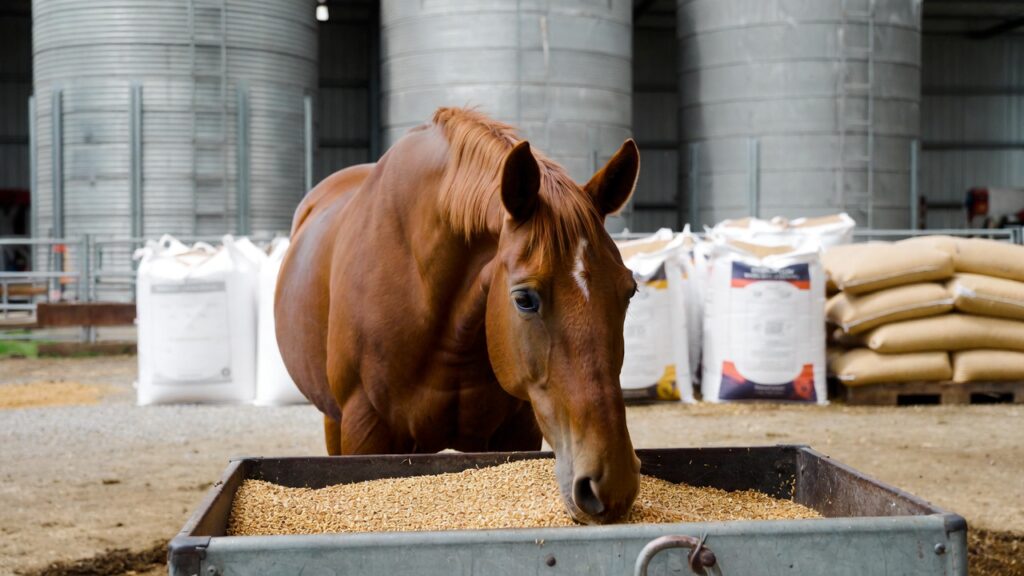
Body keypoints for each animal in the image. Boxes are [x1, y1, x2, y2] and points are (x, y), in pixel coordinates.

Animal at [276, 108, 642, 524]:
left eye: (629, 290)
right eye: (525, 299)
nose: (613, 485)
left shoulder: (516, 431)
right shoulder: (365, 429)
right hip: (334, 418)